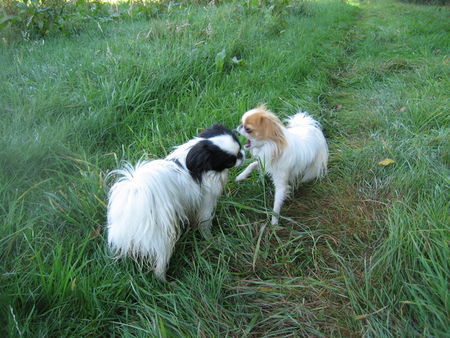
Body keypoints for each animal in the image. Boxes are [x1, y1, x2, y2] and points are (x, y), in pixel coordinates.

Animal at [107, 124, 244, 280]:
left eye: (240, 149)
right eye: (230, 160)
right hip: (162, 239)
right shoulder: (207, 202)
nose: (242, 155)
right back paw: (162, 280)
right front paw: (210, 239)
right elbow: (205, 223)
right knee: (161, 260)